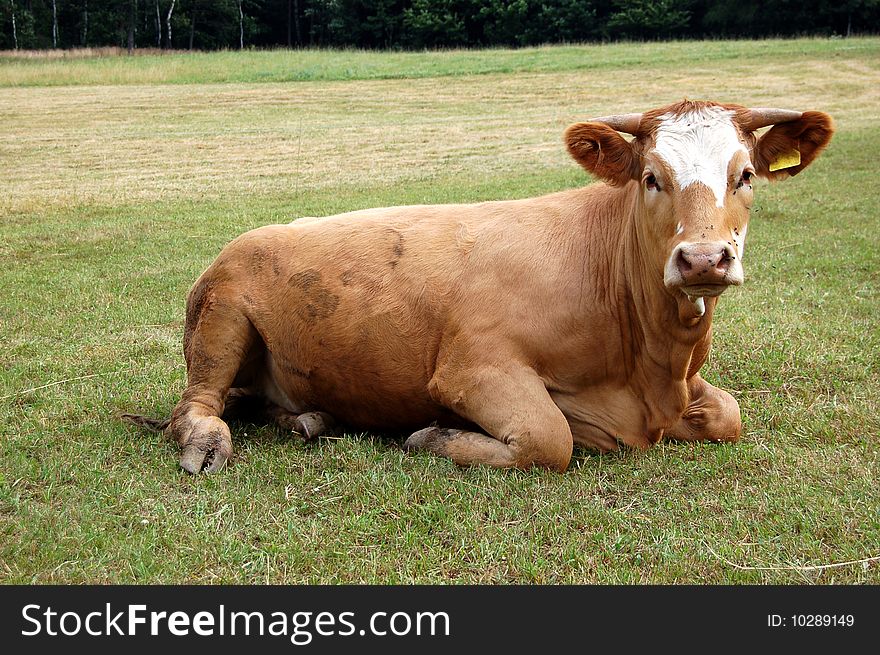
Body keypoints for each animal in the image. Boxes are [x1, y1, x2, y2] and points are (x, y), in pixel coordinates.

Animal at [122, 100, 832, 474]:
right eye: (652, 176)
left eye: (745, 175)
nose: (703, 258)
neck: (652, 365)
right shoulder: (473, 367)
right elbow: (550, 438)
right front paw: (431, 436)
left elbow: (729, 414)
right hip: (221, 317)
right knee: (196, 405)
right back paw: (208, 443)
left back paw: (311, 419)